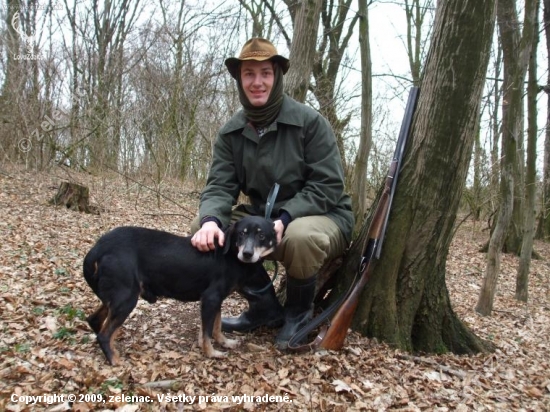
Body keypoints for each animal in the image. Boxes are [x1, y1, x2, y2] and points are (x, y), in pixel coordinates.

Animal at [82, 216, 278, 364]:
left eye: (261, 235)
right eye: (241, 234)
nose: (247, 254)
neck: (230, 255)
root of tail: (98, 247)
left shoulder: (217, 300)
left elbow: (216, 326)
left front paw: (225, 342)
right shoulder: (211, 298)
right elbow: (207, 332)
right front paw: (211, 353)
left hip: (116, 296)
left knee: (94, 320)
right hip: (126, 298)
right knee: (104, 335)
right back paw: (115, 360)